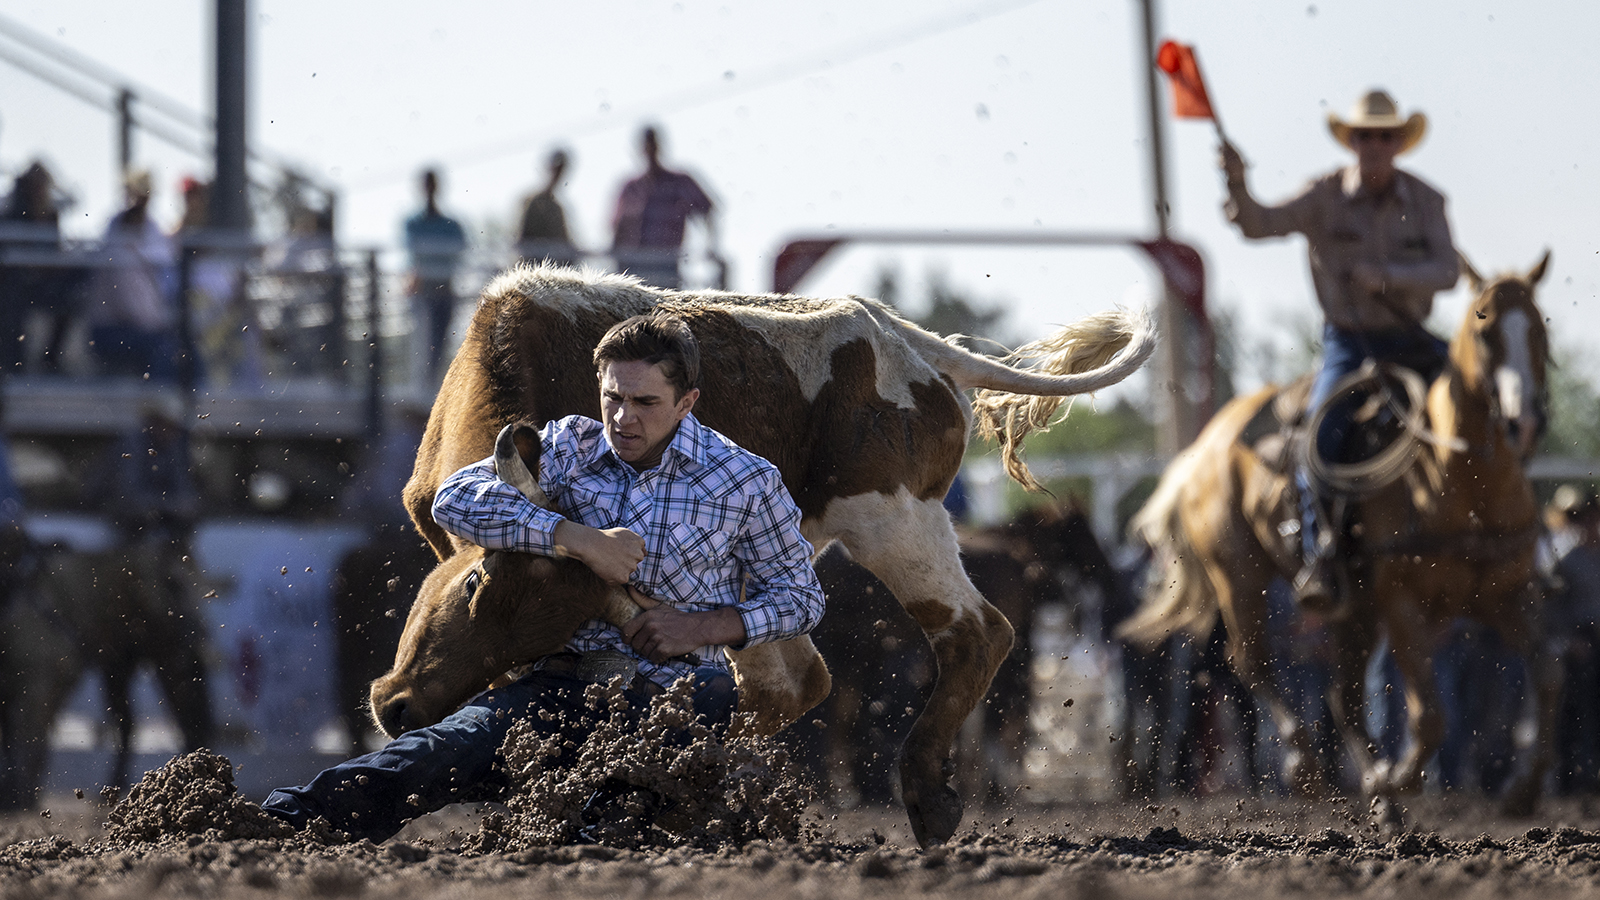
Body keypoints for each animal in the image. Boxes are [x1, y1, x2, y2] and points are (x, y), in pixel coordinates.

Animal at [1120, 253, 1555, 813]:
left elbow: (1547, 672)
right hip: (1240, 577)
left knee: (1341, 697)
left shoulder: (1508, 596)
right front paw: (1403, 777)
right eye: (1484, 330)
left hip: (1355, 609)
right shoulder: (1403, 605)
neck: (1461, 483)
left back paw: (1377, 792)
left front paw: (1522, 790)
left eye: (1540, 329)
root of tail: (1205, 444)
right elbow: (1430, 716)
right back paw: (1310, 768)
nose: (1524, 422)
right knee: (1253, 662)